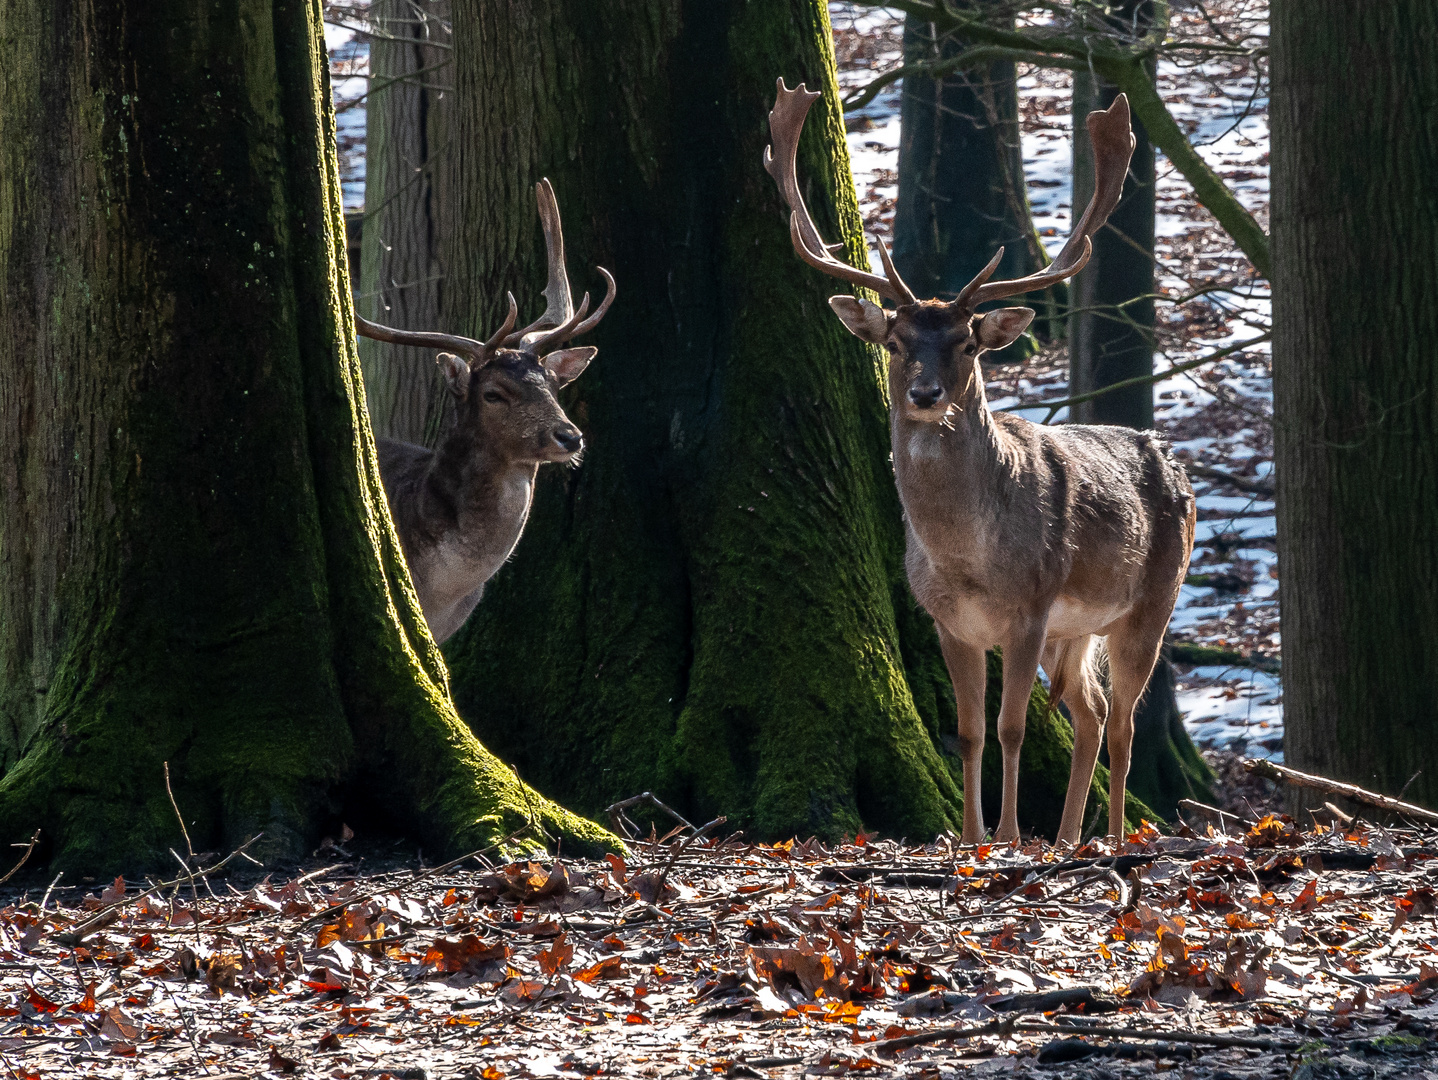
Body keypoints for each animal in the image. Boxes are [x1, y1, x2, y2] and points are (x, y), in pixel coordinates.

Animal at [770, 82, 1196, 845]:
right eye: (895, 341)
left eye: (967, 343)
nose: (925, 394)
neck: (969, 561)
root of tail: (1176, 463)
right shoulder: (947, 620)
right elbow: (969, 731)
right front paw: (969, 838)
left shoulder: (1030, 606)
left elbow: (1012, 726)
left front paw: (1007, 837)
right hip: (1074, 630)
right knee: (1089, 715)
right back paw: (1067, 837)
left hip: (1151, 602)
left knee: (1120, 725)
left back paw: (1115, 836)